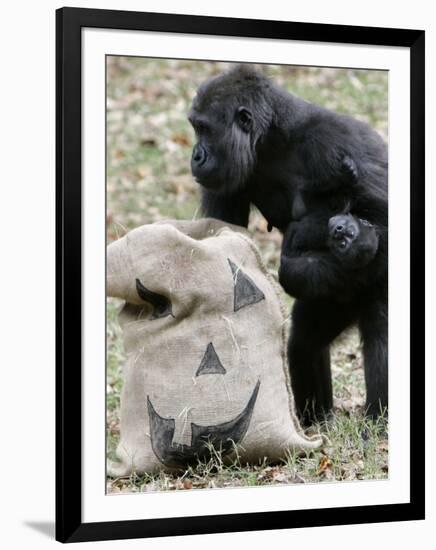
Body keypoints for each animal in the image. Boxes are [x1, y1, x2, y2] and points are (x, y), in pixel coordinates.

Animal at [189, 67, 386, 424]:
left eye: (205, 129)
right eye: (196, 128)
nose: (196, 155)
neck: (273, 138)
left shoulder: (337, 141)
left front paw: (350, 244)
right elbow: (222, 241)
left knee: (381, 337)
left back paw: (377, 420)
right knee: (305, 343)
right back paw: (315, 421)